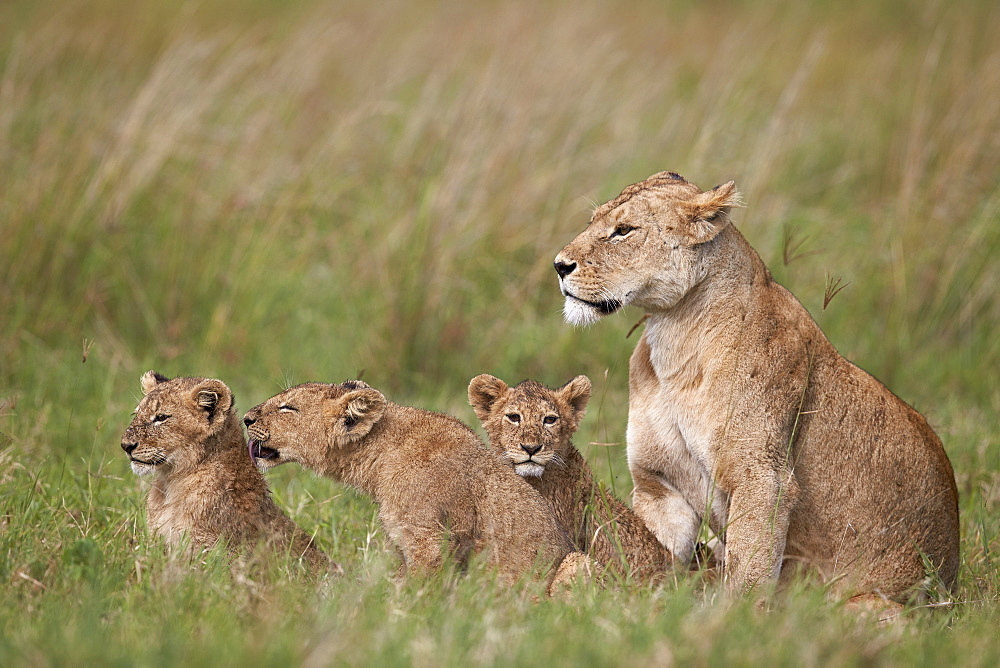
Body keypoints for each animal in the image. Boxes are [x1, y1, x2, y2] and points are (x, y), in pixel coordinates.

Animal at [556, 171, 960, 600]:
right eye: (593, 221)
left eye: (624, 230)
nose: (559, 266)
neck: (675, 337)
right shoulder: (659, 484)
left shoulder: (763, 479)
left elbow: (747, 573)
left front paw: (733, 615)